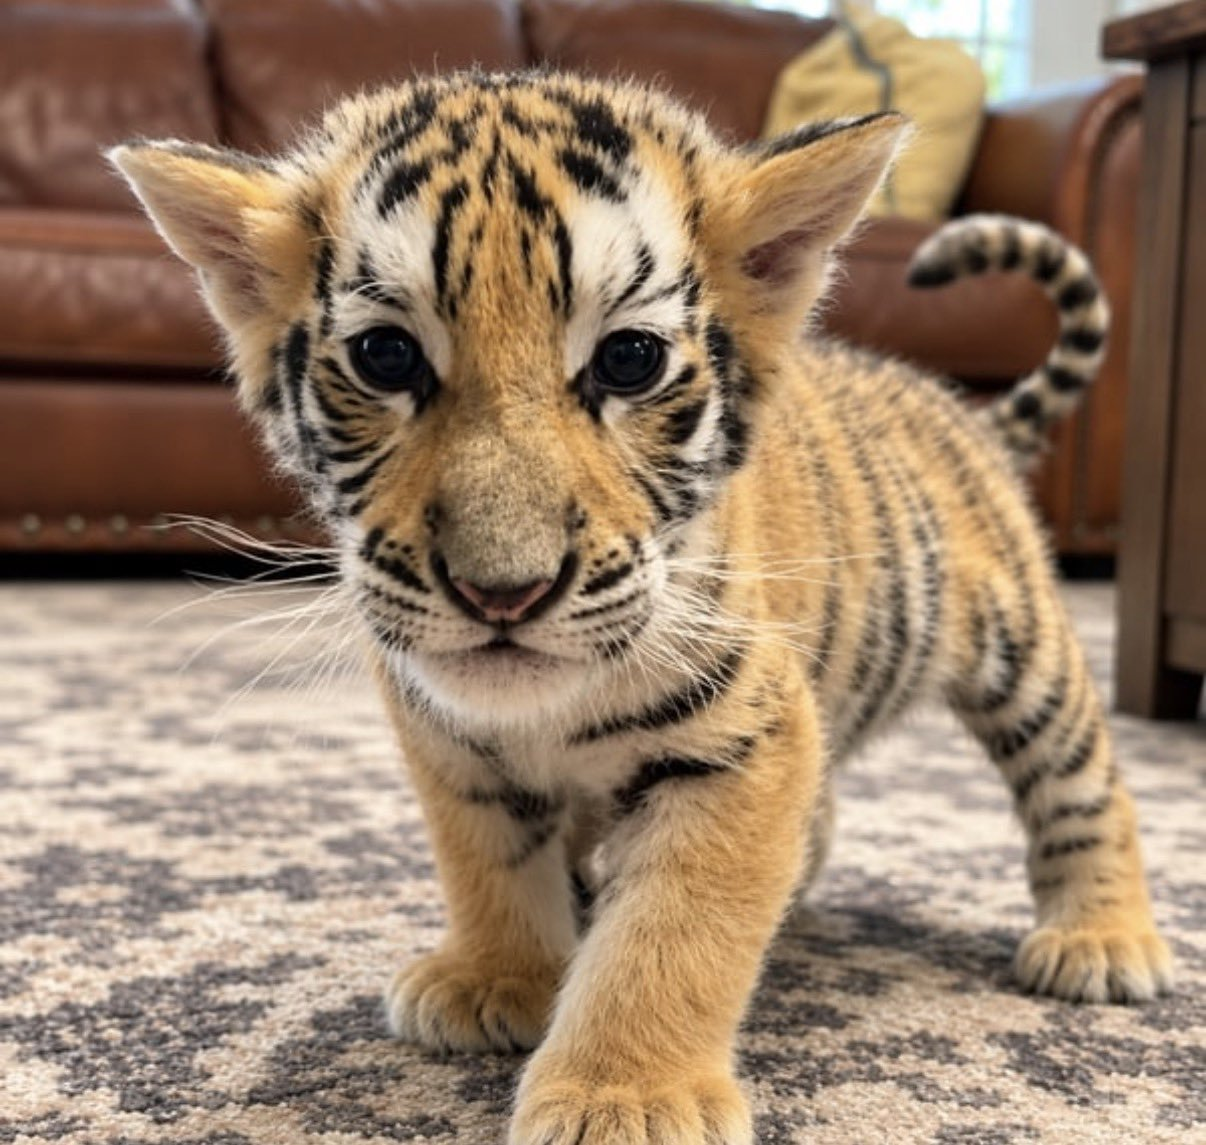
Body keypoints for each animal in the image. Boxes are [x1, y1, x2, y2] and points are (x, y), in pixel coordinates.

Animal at [111, 71, 1172, 1145]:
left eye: (628, 361)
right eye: (385, 356)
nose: (504, 589)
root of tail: (964, 412)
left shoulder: (744, 740)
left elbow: (674, 926)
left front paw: (623, 1095)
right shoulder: (447, 734)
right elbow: (487, 857)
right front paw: (496, 976)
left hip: (1022, 648)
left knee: (1083, 778)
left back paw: (1101, 937)